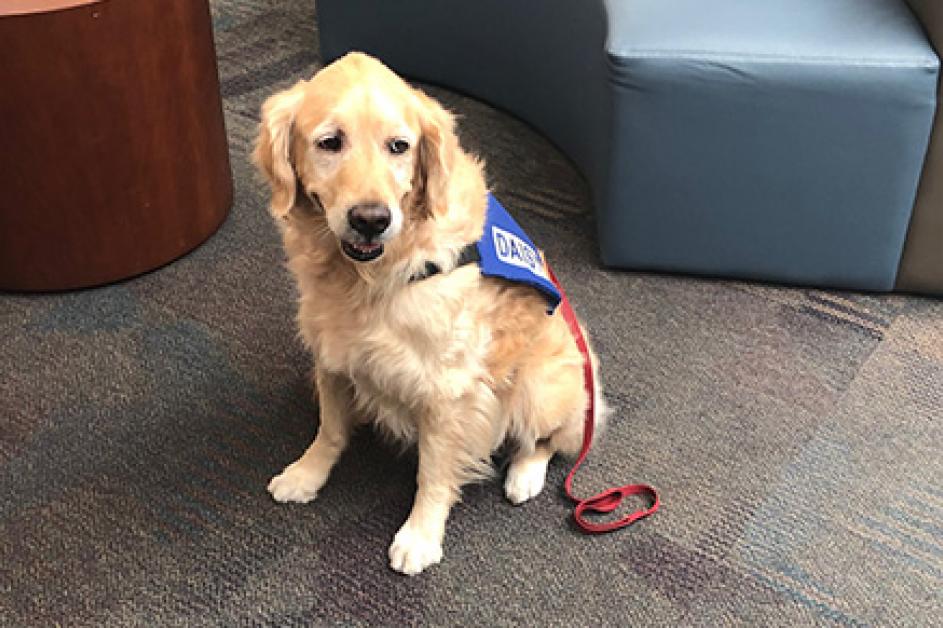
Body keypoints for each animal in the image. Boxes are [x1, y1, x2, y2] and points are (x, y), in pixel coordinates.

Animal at [251, 52, 604, 576]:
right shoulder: (331, 354)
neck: (371, 276)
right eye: (330, 142)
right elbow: (330, 430)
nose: (371, 220)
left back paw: (524, 475)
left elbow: (433, 473)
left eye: (399, 146)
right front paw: (307, 473)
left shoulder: (447, 391)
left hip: (540, 386)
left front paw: (419, 537)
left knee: (544, 441)